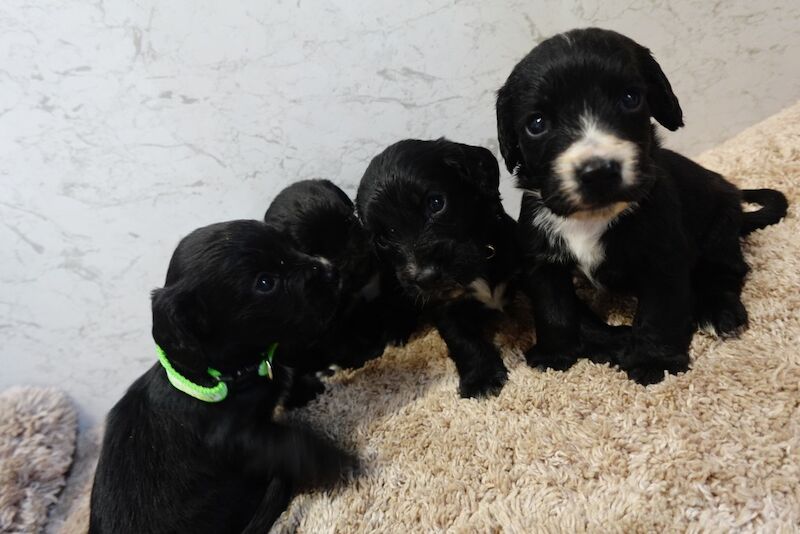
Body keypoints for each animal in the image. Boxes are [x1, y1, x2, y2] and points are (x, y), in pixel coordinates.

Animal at [89, 221, 354, 534]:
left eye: (290, 245)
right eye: (265, 283)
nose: (332, 271)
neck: (226, 374)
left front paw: (313, 382)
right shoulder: (236, 437)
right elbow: (289, 441)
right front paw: (333, 460)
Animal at [356, 138, 520, 398]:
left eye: (436, 203)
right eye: (382, 239)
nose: (426, 277)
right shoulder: (442, 306)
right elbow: (462, 340)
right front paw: (482, 379)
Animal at [494, 28, 788, 386]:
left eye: (630, 98)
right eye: (536, 124)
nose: (598, 172)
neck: (592, 218)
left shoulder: (662, 258)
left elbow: (658, 313)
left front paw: (653, 361)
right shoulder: (542, 259)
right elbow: (553, 308)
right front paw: (554, 355)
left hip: (719, 231)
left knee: (728, 271)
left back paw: (719, 313)